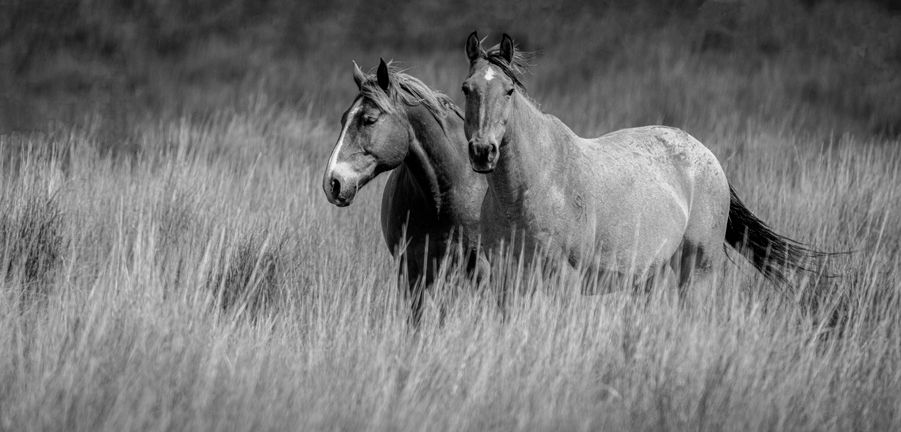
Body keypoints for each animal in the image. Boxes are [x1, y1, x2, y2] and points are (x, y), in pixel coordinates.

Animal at [461, 32, 827, 293]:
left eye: (509, 90)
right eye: (467, 88)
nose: (482, 151)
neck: (533, 185)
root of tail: (707, 156)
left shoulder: (565, 278)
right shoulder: (505, 278)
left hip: (698, 268)